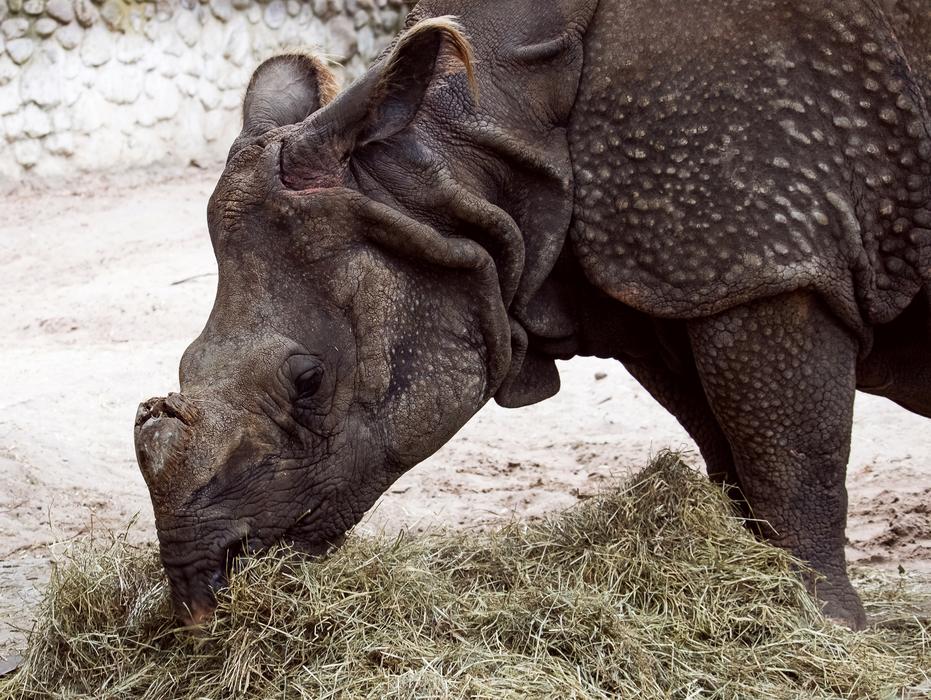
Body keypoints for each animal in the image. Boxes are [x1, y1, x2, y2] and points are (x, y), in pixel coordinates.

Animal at [135, 0, 931, 630]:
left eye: (307, 381)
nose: (199, 594)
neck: (466, 154)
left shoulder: (767, 264)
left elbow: (793, 468)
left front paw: (826, 629)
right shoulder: (670, 284)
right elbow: (730, 457)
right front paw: (759, 587)